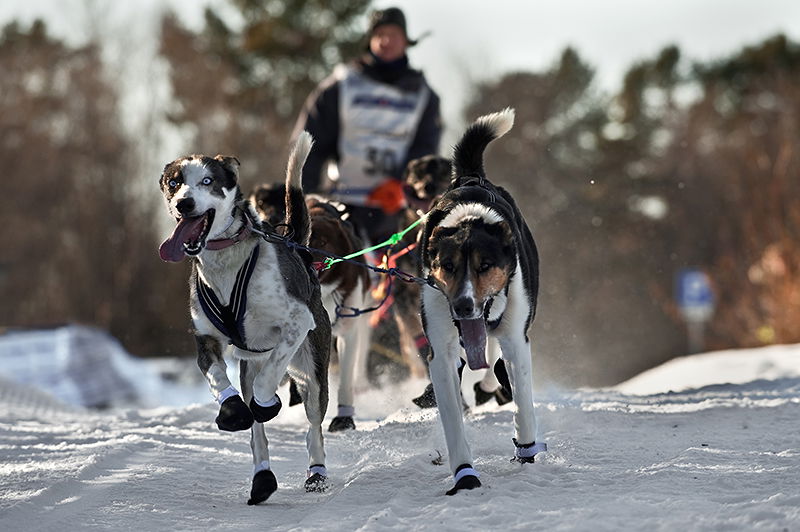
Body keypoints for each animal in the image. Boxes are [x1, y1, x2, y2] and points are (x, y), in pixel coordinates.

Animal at [156, 132, 332, 502]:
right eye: (174, 183)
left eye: (208, 181)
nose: (184, 203)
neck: (227, 262)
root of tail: (300, 251)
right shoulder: (206, 339)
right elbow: (217, 379)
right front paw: (232, 410)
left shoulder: (296, 324)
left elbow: (270, 379)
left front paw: (267, 401)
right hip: (250, 366)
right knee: (258, 434)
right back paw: (262, 478)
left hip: (312, 370)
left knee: (312, 426)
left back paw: (317, 472)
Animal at [418, 110, 544, 496]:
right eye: (448, 266)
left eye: (485, 265)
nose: (462, 306)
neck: (469, 220)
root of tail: (470, 177)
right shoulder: (441, 351)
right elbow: (453, 421)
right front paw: (465, 475)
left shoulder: (517, 337)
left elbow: (523, 403)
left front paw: (526, 449)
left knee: (497, 362)